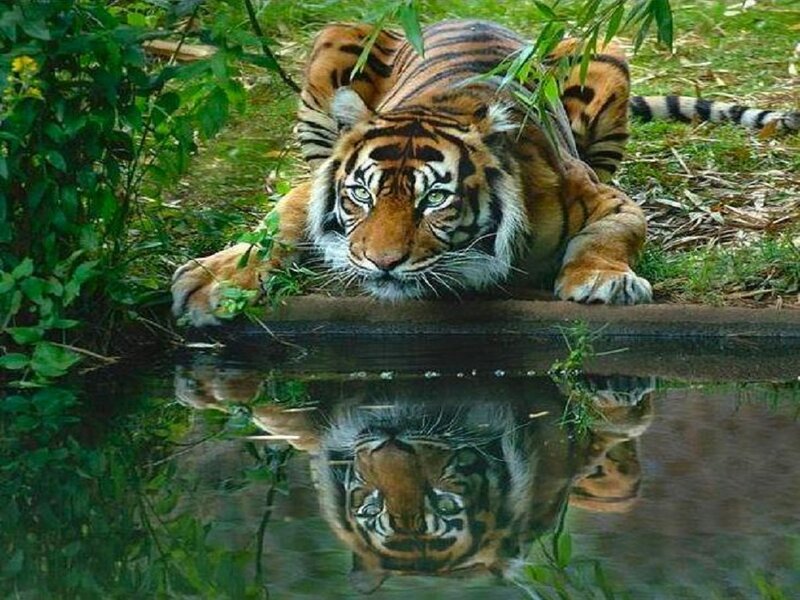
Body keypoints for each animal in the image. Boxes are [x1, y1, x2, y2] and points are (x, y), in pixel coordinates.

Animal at [171, 19, 799, 326]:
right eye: (359, 197)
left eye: (433, 201)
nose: (380, 263)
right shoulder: (313, 184)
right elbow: (272, 226)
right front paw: (211, 281)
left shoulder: (605, 198)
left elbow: (611, 233)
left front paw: (601, 281)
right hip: (334, 40)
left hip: (602, 51)